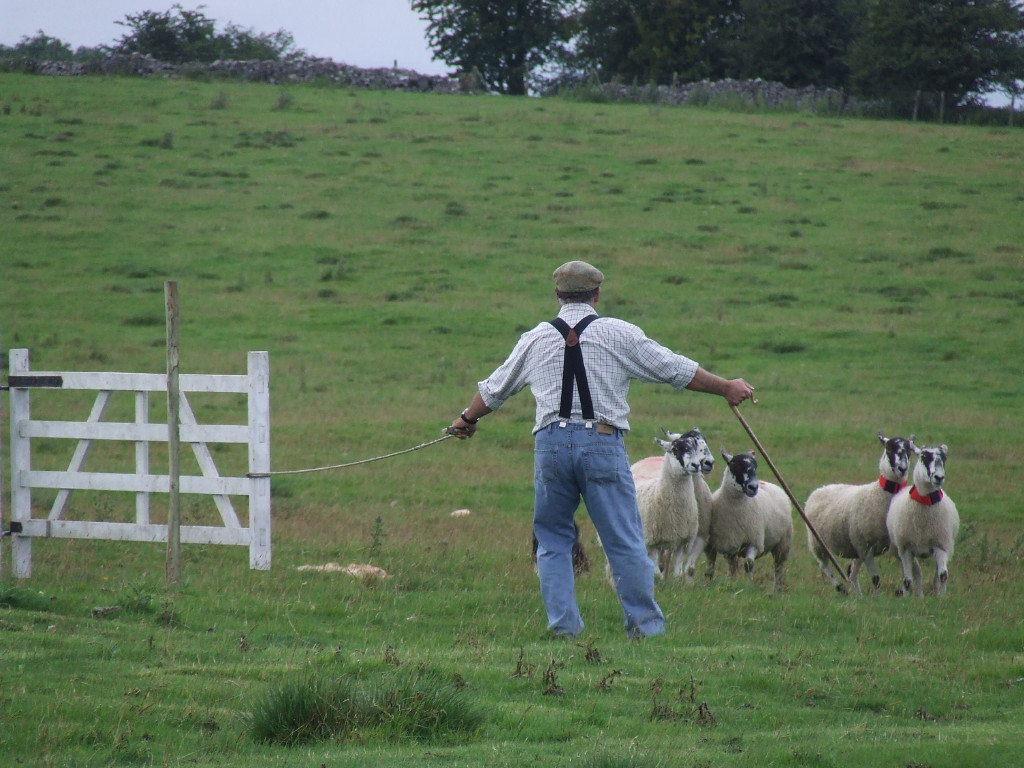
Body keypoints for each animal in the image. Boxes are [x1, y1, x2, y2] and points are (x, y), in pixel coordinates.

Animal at [607, 431, 701, 582]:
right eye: (675, 449)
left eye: (694, 448)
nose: (696, 465)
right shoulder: (651, 541)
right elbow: (656, 572)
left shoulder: (682, 540)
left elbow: (677, 573)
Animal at [707, 447, 793, 593]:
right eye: (735, 465)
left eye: (755, 466)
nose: (753, 487)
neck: (736, 509)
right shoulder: (725, 544)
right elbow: (727, 568)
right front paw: (730, 584)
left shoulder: (754, 541)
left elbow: (748, 564)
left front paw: (748, 587)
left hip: (782, 544)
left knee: (778, 568)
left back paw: (776, 591)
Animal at [803, 431, 915, 595]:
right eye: (888, 449)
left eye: (909, 451)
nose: (902, 468)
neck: (880, 495)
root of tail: (820, 489)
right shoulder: (865, 547)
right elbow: (875, 578)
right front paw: (878, 597)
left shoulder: (892, 545)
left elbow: (906, 575)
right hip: (817, 542)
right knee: (824, 566)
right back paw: (841, 587)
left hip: (853, 546)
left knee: (852, 572)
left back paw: (857, 595)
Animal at [886, 443, 959, 597]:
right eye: (923, 456)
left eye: (944, 458)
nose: (939, 477)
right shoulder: (906, 548)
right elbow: (908, 580)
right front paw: (906, 598)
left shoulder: (941, 544)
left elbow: (943, 575)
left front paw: (941, 597)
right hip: (899, 550)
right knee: (916, 572)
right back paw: (919, 595)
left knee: (936, 573)